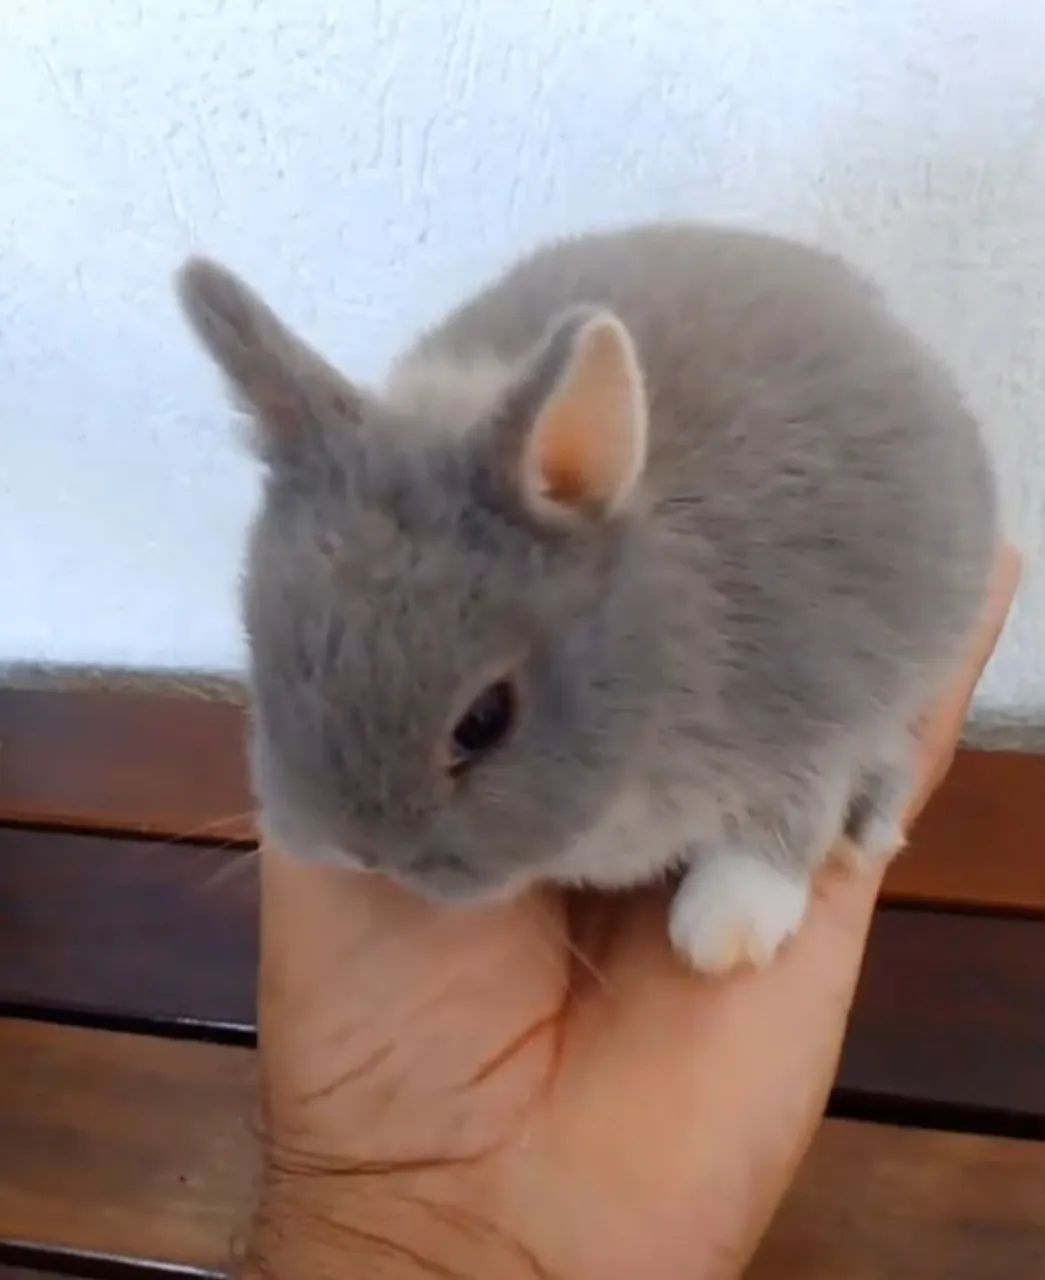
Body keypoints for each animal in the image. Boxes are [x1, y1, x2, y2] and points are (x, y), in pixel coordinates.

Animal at [177, 224, 996, 973]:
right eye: (266, 663)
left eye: (484, 720)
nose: (367, 853)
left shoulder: (811, 710)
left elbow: (784, 824)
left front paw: (725, 930)